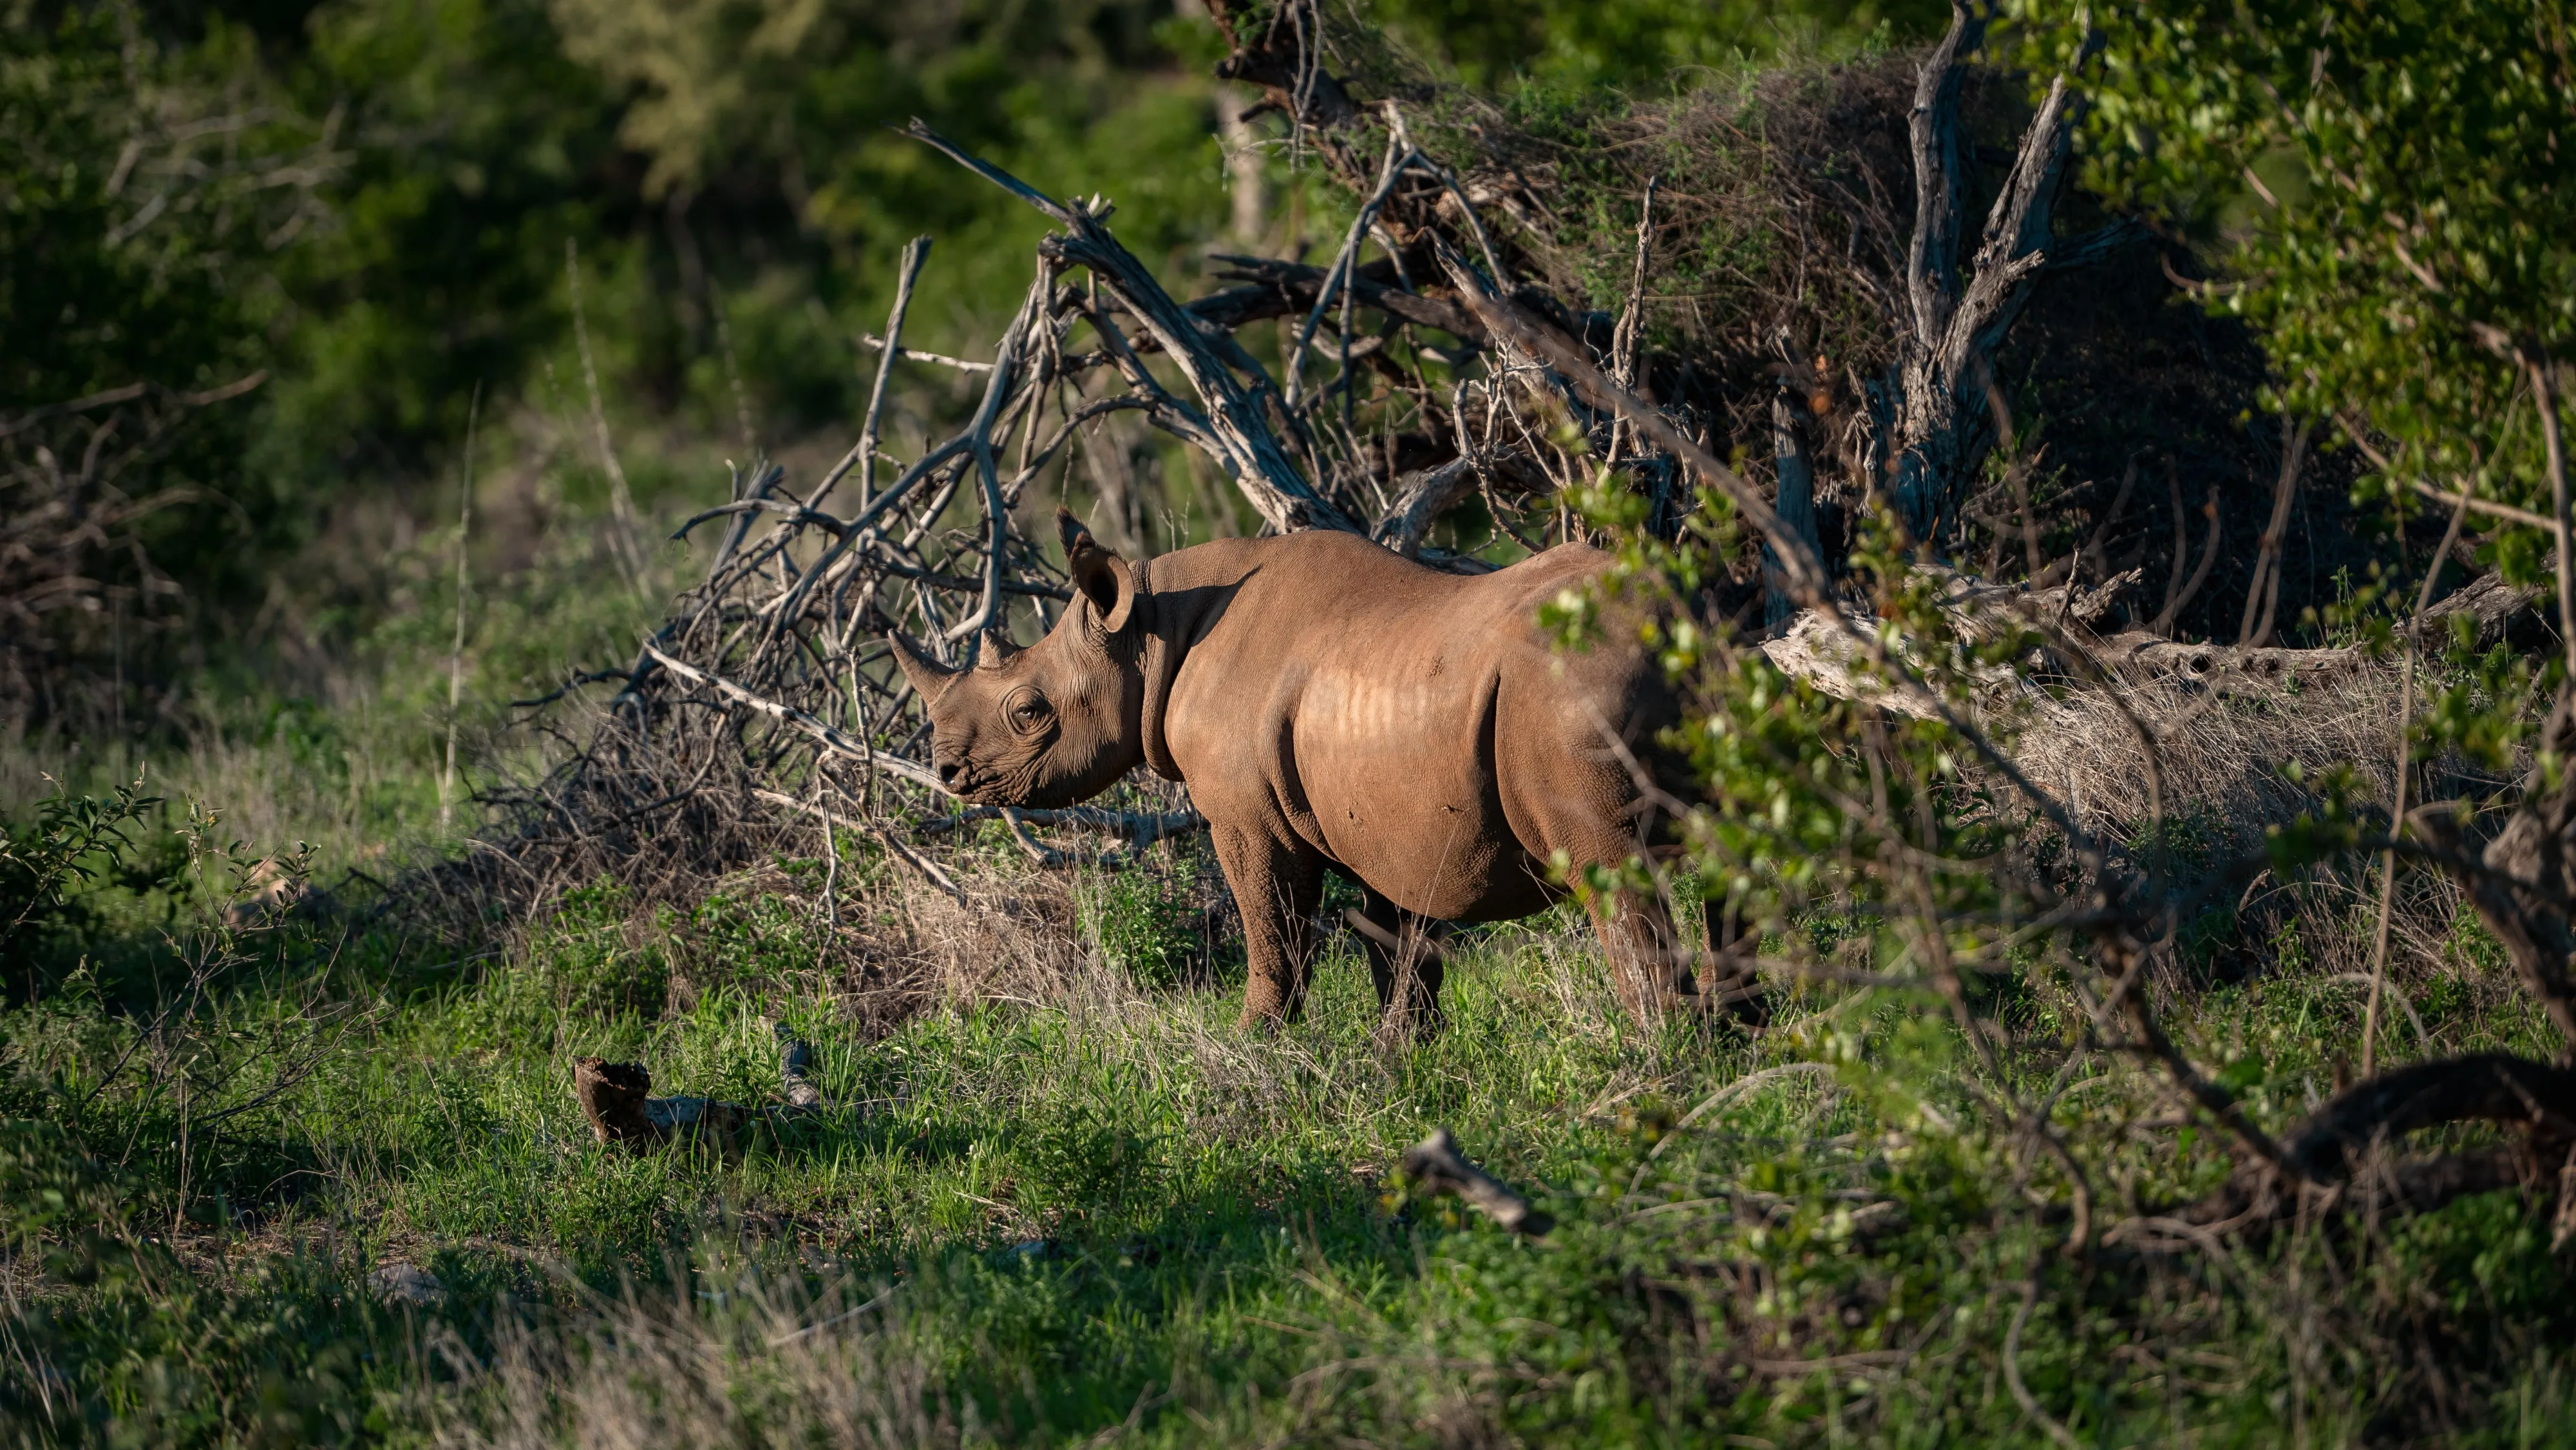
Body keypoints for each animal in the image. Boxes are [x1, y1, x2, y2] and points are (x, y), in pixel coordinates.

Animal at [889, 511, 1759, 1035]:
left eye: (1028, 711)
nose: (949, 772)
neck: (1150, 630)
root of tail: (1677, 624)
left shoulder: (1245, 815)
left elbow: (1273, 928)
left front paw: (1254, 1043)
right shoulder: (1390, 814)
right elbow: (1396, 944)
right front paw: (1403, 1060)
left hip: (1570, 688)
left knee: (1611, 868)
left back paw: (1659, 1054)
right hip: (1704, 676)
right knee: (1734, 853)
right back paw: (1741, 1035)